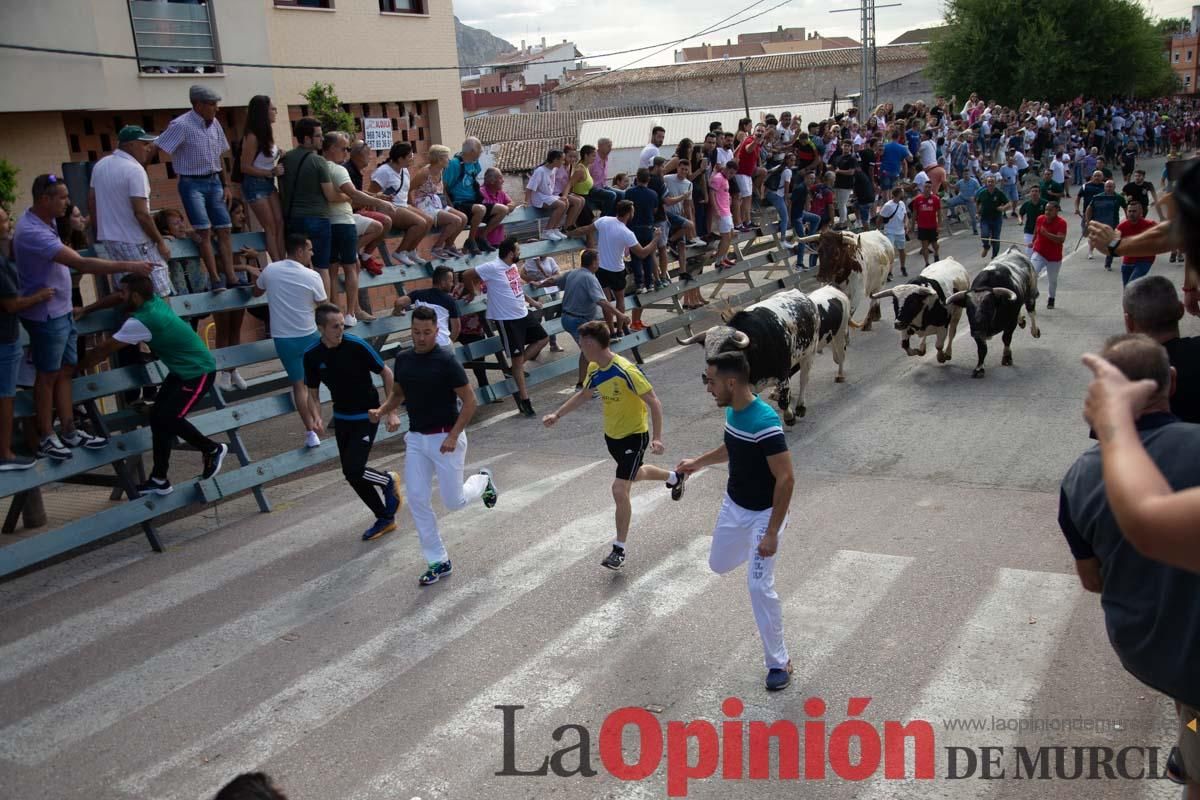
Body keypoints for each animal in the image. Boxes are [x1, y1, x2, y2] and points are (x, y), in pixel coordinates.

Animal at [681, 289, 820, 424]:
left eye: (727, 350)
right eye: (706, 350)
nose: (706, 376)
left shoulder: (782, 376)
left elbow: (783, 401)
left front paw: (789, 417)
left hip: (809, 353)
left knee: (804, 379)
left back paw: (800, 406)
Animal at [945, 247, 1041, 379]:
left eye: (989, 306)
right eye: (968, 308)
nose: (977, 330)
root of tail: (1014, 249)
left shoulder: (1010, 324)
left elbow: (1006, 339)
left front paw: (1007, 358)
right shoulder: (977, 331)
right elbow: (982, 349)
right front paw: (979, 368)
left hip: (1031, 295)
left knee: (1032, 312)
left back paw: (1035, 331)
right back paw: (1022, 320)